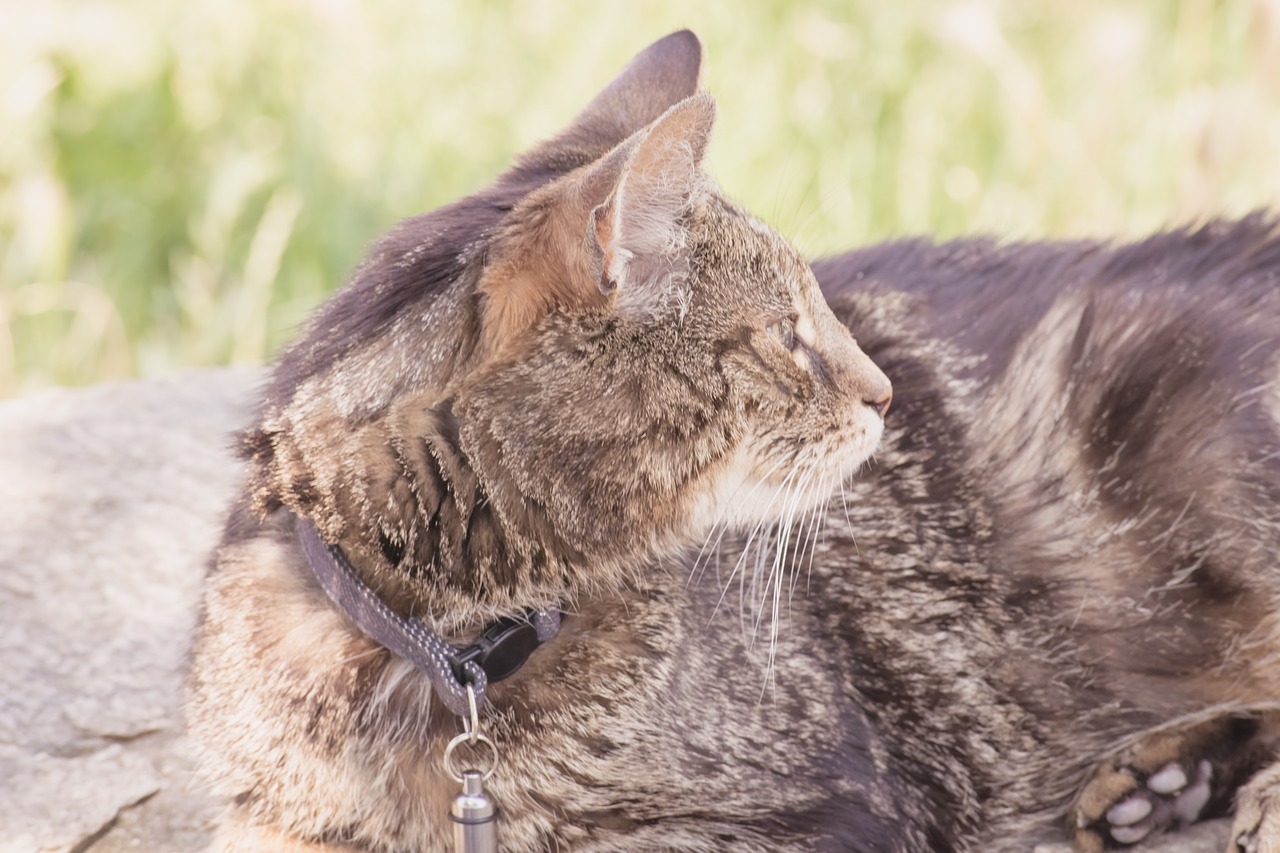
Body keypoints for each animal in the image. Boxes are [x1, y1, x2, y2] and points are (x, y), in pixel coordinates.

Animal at [186, 28, 1280, 850]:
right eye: (787, 334)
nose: (883, 392)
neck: (447, 642)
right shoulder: (271, 825)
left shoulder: (824, 806)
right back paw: (1161, 779)